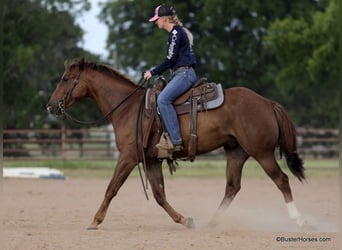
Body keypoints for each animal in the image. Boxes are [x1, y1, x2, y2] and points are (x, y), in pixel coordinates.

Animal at [46, 58, 306, 229]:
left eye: (65, 79)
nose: (50, 105)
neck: (127, 108)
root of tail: (267, 102)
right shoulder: (151, 161)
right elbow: (159, 195)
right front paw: (184, 219)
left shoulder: (128, 157)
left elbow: (112, 188)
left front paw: (95, 220)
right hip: (236, 152)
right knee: (232, 187)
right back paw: (212, 222)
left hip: (262, 153)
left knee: (282, 180)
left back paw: (298, 219)